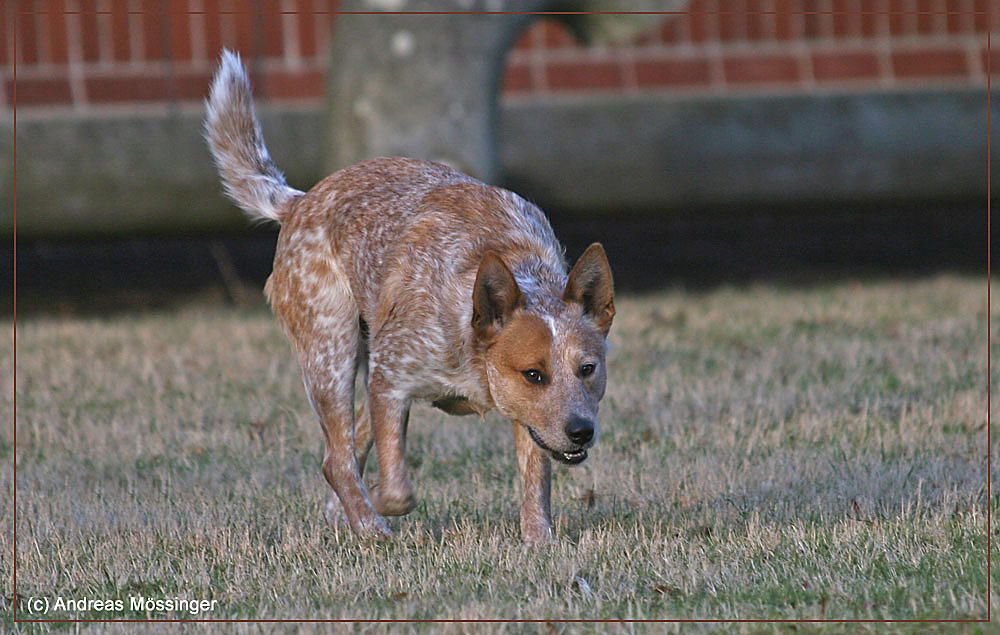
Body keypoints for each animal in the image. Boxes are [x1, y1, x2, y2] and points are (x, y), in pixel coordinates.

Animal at [203, 51, 612, 548]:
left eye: (587, 369)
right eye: (534, 374)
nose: (582, 432)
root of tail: (300, 201)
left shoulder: (525, 417)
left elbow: (536, 483)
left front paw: (539, 543)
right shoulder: (390, 380)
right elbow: (398, 491)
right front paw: (378, 509)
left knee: (344, 453)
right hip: (331, 351)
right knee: (336, 461)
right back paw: (367, 526)